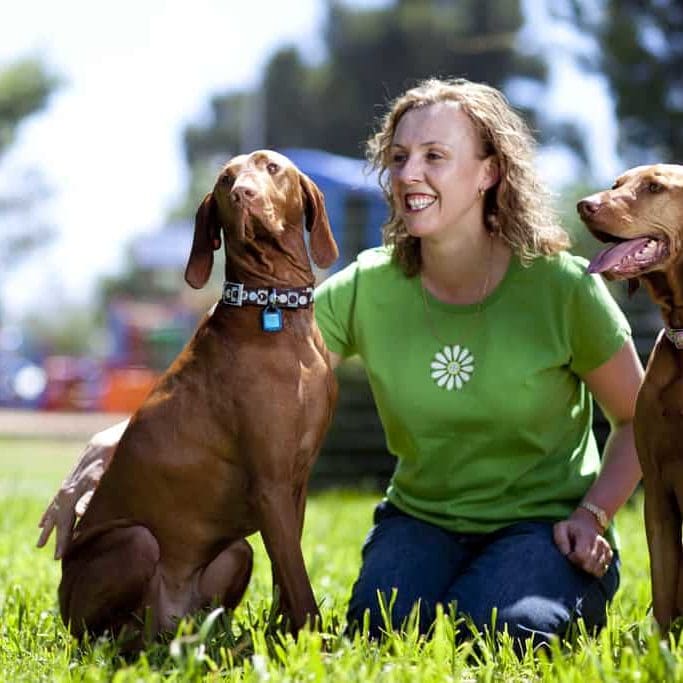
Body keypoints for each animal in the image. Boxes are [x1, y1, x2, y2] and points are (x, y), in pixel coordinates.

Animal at [57, 148, 340, 640]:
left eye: (272, 168)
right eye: (226, 180)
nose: (243, 194)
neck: (274, 308)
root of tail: (168, 618)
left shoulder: (296, 484)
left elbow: (287, 575)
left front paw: (283, 635)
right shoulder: (270, 485)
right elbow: (299, 582)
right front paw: (313, 639)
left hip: (235, 552)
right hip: (133, 545)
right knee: (105, 632)